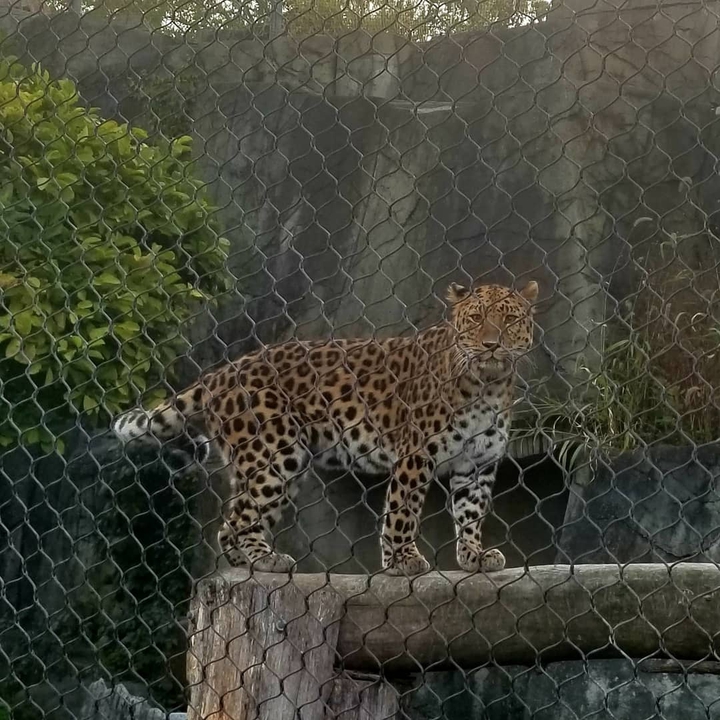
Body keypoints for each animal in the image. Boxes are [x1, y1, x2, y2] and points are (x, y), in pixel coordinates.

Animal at [112, 279, 539, 576]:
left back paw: (248, 560)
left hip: (277, 463)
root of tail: (225, 371)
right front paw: (402, 560)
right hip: (274, 454)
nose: (491, 345)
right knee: (241, 518)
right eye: (476, 319)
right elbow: (403, 510)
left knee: (231, 521)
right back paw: (264, 559)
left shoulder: (478, 463)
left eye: (510, 319)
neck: (489, 384)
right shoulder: (416, 455)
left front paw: (474, 556)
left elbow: (471, 511)